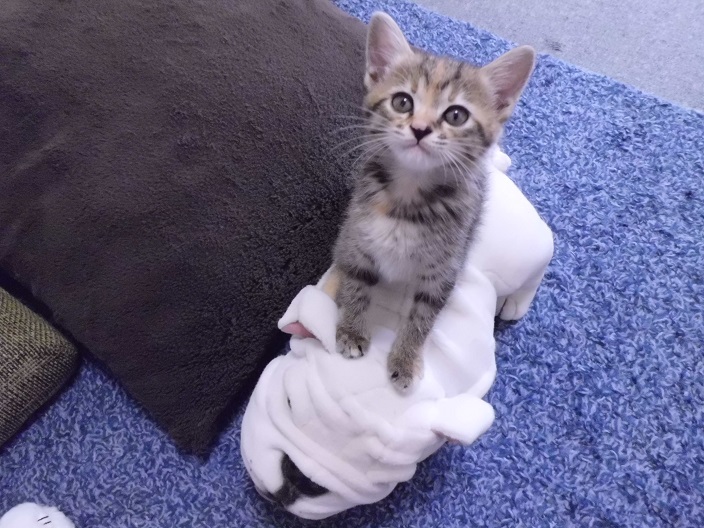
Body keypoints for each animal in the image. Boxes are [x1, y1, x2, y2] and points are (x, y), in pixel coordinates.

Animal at [333, 12, 535, 391]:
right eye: (402, 102)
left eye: (456, 115)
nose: (420, 129)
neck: (407, 197)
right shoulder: (355, 237)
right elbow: (356, 282)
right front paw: (351, 329)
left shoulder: (442, 271)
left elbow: (423, 316)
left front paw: (405, 359)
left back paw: (517, 301)